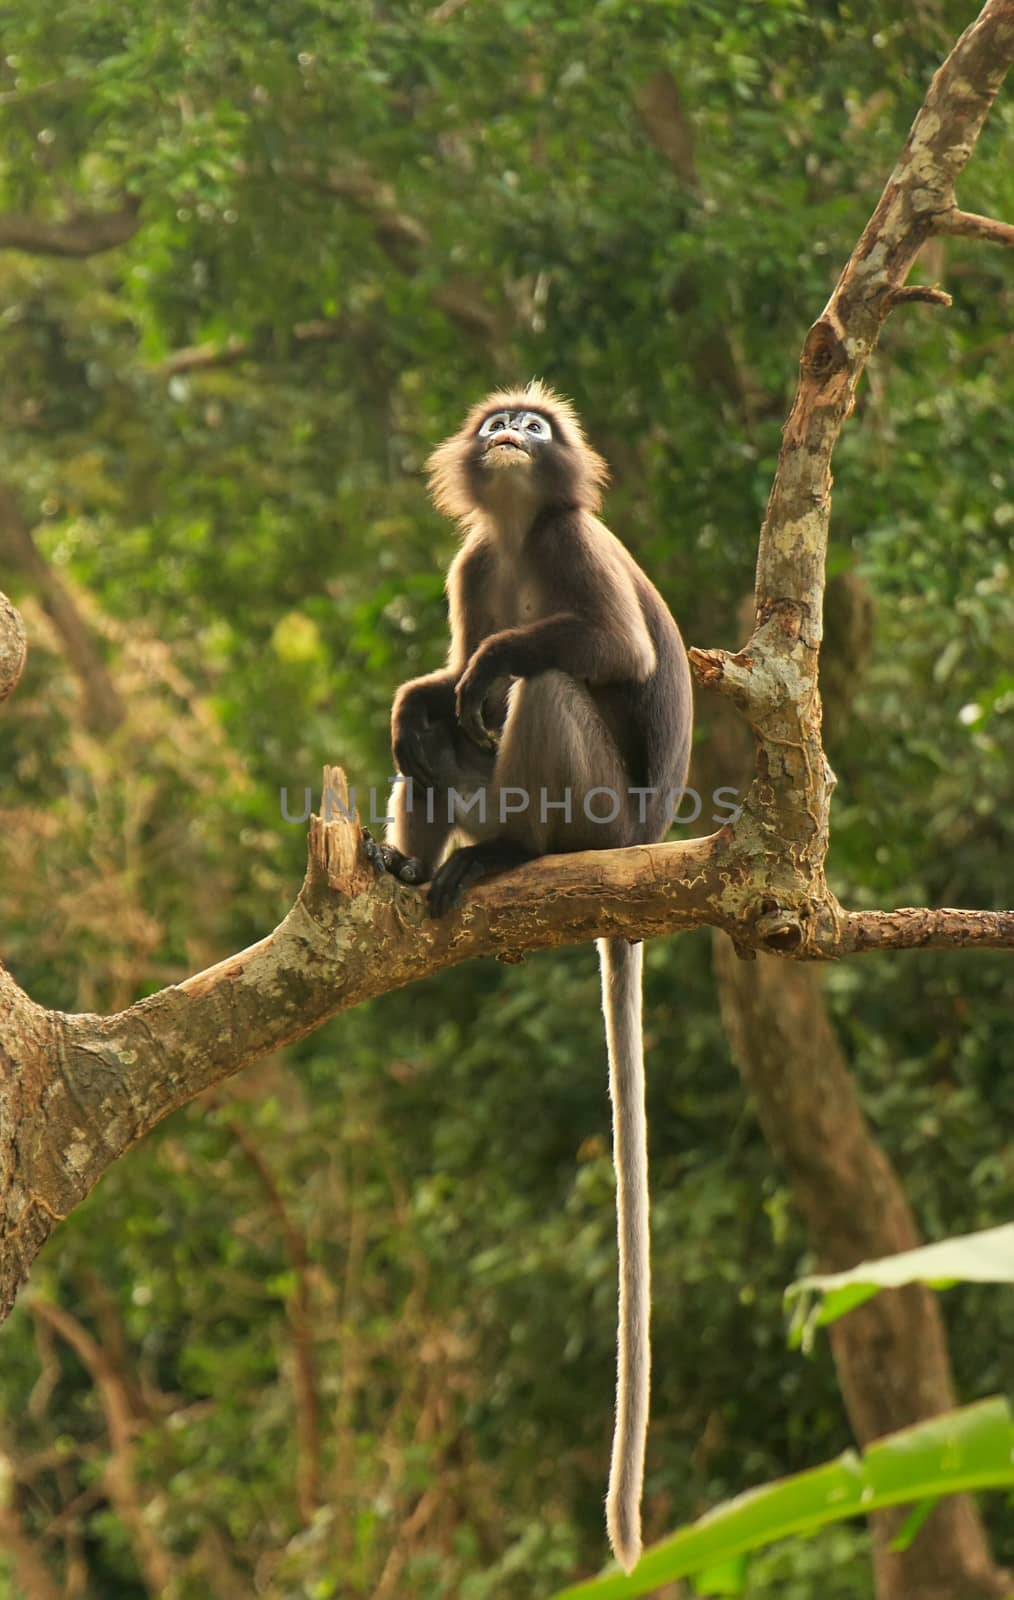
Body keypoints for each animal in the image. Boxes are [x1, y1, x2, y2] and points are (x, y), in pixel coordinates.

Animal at [375, 380, 690, 1568]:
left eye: (538, 429)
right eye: (499, 425)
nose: (515, 433)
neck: (514, 534)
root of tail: (637, 852)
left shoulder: (568, 540)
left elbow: (603, 651)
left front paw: (495, 662)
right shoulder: (473, 566)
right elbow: (438, 678)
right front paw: (431, 688)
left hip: (592, 810)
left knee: (548, 684)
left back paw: (507, 854)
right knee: (429, 738)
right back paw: (413, 863)